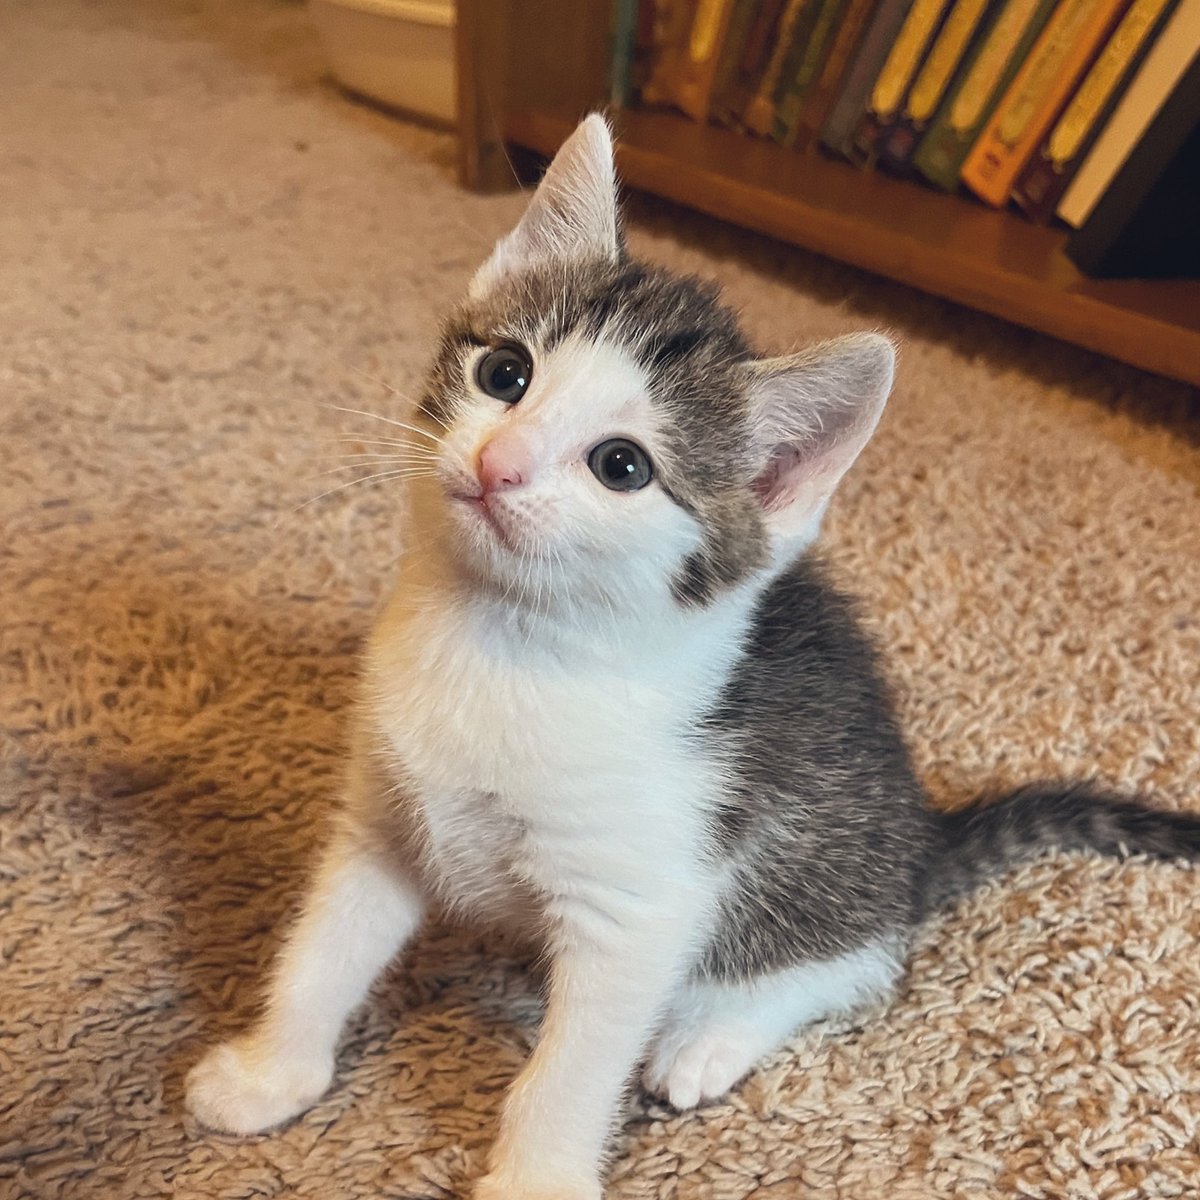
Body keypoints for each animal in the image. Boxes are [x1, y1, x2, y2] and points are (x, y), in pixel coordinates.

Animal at [184, 119, 1200, 1200]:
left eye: (621, 466)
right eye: (505, 374)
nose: (500, 463)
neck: (504, 643)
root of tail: (921, 841)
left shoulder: (637, 906)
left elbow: (573, 1068)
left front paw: (535, 1175)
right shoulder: (382, 821)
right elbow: (322, 951)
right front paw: (269, 1073)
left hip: (814, 868)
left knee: (854, 961)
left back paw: (709, 1035)